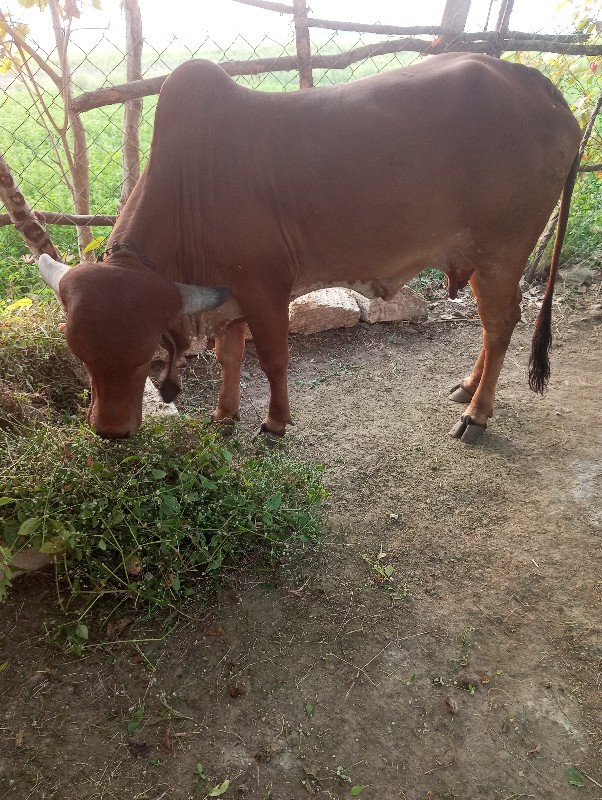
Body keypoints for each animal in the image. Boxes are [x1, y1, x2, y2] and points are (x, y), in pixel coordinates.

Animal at [39, 54, 580, 444]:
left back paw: (477, 413)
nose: (109, 433)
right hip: (479, 258)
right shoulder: (228, 294)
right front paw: (224, 415)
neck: (190, 187)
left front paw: (275, 421)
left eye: (142, 357)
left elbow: (274, 359)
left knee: (500, 323)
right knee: (497, 325)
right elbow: (229, 358)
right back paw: (467, 387)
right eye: (81, 357)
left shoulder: (265, 288)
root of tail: (536, 85)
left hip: (500, 252)